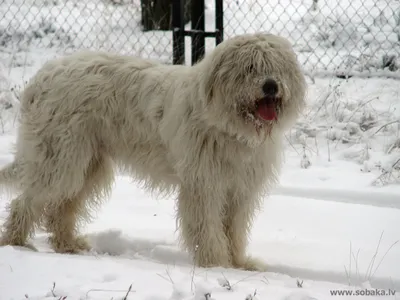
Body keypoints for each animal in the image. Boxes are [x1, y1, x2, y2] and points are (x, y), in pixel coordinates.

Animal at [0, 32, 306, 270]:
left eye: (277, 67)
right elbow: (207, 226)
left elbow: (234, 229)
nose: (271, 86)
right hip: (61, 158)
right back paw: (16, 242)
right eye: (250, 67)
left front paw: (240, 263)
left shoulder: (240, 189)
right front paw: (216, 264)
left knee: (61, 207)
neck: (228, 126)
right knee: (26, 202)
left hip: (88, 164)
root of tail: (43, 76)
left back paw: (67, 244)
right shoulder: (204, 184)